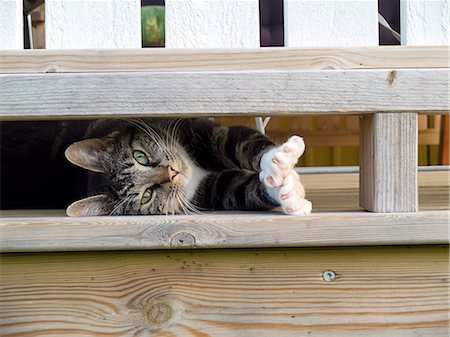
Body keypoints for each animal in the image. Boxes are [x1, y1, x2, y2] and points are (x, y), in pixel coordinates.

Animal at [0, 118, 312, 215]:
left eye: (140, 156)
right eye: (146, 196)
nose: (172, 173)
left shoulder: (198, 131)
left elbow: (234, 142)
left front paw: (280, 160)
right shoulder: (210, 191)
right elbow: (239, 189)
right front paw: (289, 194)